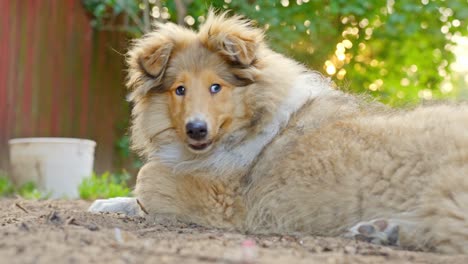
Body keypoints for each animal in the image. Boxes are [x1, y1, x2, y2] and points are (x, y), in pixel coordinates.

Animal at [89, 11, 468, 254]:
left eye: (216, 87)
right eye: (179, 90)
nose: (196, 130)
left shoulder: (223, 200)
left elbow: (148, 176)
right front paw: (106, 203)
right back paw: (384, 232)